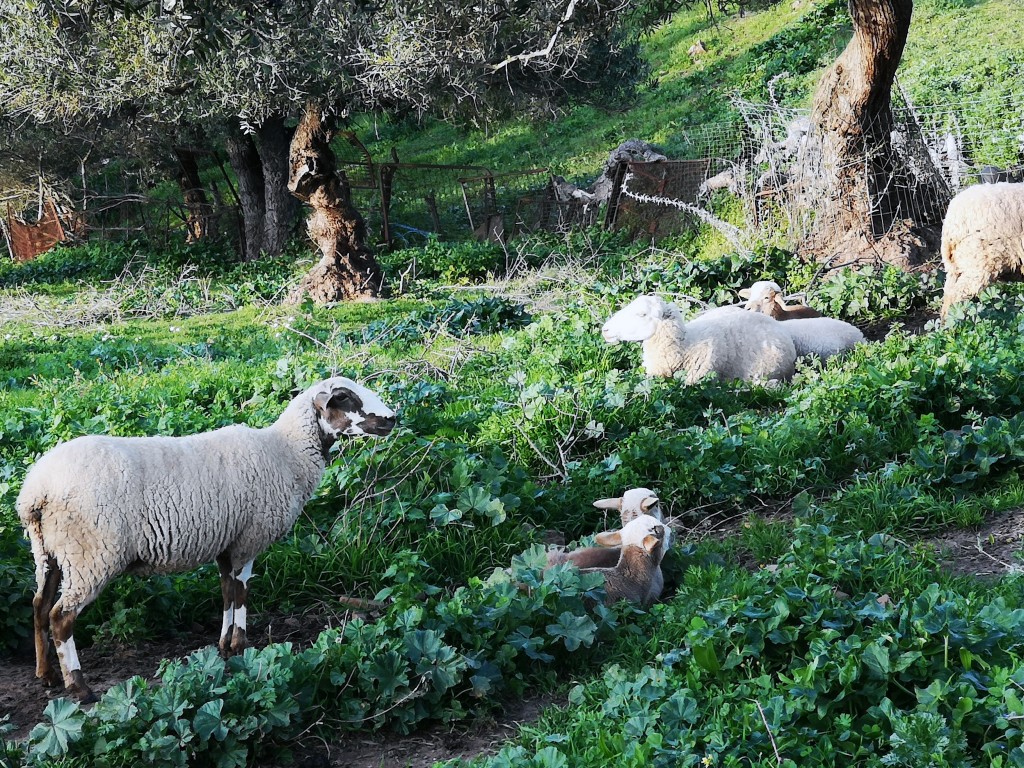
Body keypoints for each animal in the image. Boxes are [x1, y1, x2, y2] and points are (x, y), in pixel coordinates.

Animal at [18, 374, 399, 704]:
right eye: (344, 397)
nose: (392, 419)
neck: (285, 453)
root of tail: (37, 490)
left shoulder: (227, 543)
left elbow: (227, 592)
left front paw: (224, 645)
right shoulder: (249, 539)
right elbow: (241, 592)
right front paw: (240, 645)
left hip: (49, 552)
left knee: (39, 606)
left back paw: (45, 674)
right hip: (90, 553)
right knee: (61, 617)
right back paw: (78, 687)